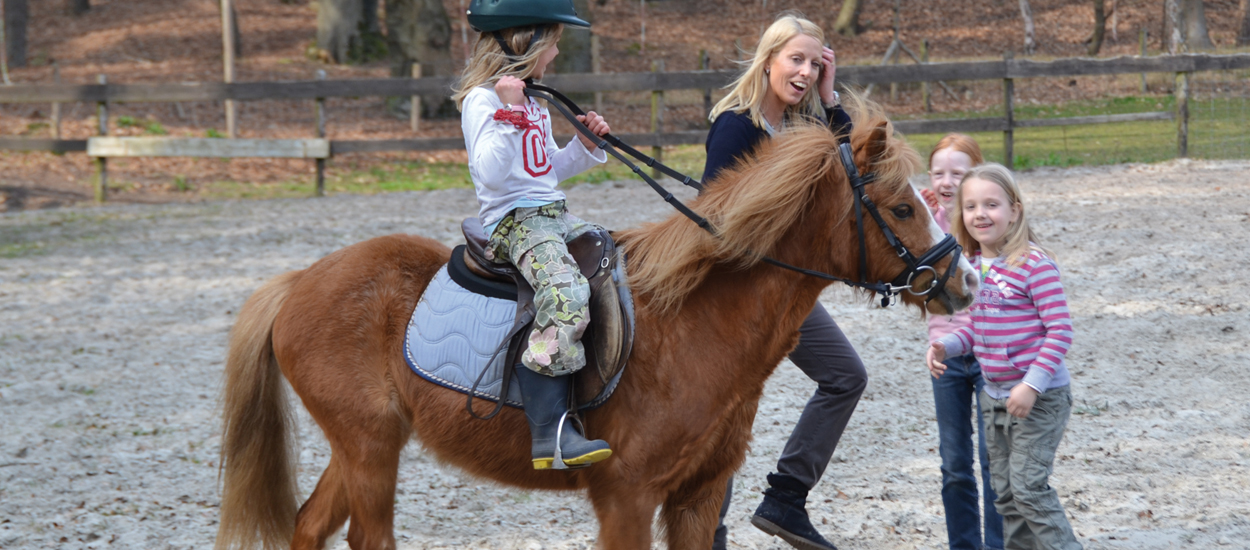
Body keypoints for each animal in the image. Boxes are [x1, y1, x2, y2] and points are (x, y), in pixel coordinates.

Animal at [215, 107, 975, 550]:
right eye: (902, 207)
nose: (960, 280)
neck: (697, 318)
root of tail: (298, 283)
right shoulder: (628, 499)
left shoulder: (697, 499)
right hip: (370, 448)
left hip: (365, 445)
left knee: (309, 526)